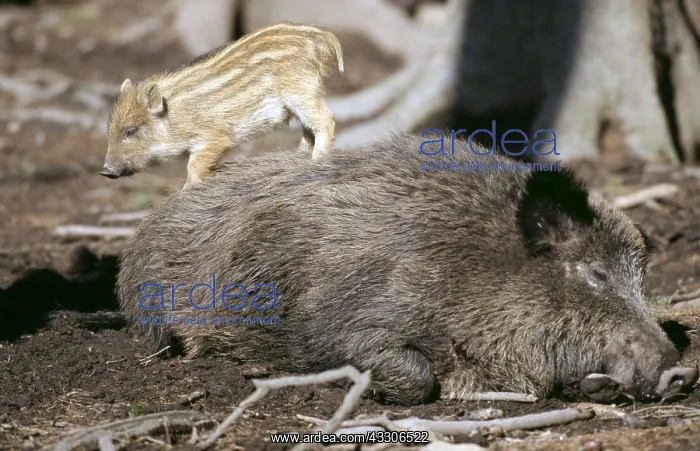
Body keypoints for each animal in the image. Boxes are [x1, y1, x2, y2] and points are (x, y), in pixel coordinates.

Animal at [100, 21, 343, 188]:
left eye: (131, 131)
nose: (105, 171)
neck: (175, 116)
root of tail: (324, 38)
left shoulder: (214, 138)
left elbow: (194, 168)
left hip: (301, 91)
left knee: (326, 122)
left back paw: (317, 160)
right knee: (309, 130)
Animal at [117, 133, 697, 404]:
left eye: (641, 276)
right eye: (596, 273)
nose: (680, 372)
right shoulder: (350, 324)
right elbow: (414, 375)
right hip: (154, 322)